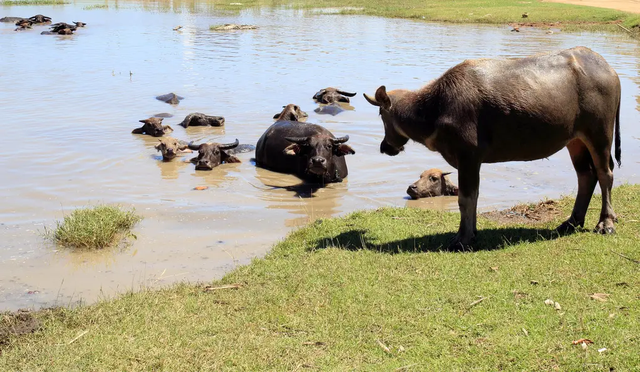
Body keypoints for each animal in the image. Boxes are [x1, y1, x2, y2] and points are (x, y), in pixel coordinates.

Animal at [364, 47, 620, 250]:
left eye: (381, 115)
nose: (385, 146)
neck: (436, 109)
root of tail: (611, 71)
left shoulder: (468, 157)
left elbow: (465, 198)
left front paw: (462, 239)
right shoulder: (472, 162)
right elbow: (474, 196)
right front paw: (472, 233)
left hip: (600, 135)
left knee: (605, 174)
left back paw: (606, 223)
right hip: (574, 141)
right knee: (586, 176)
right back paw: (571, 222)